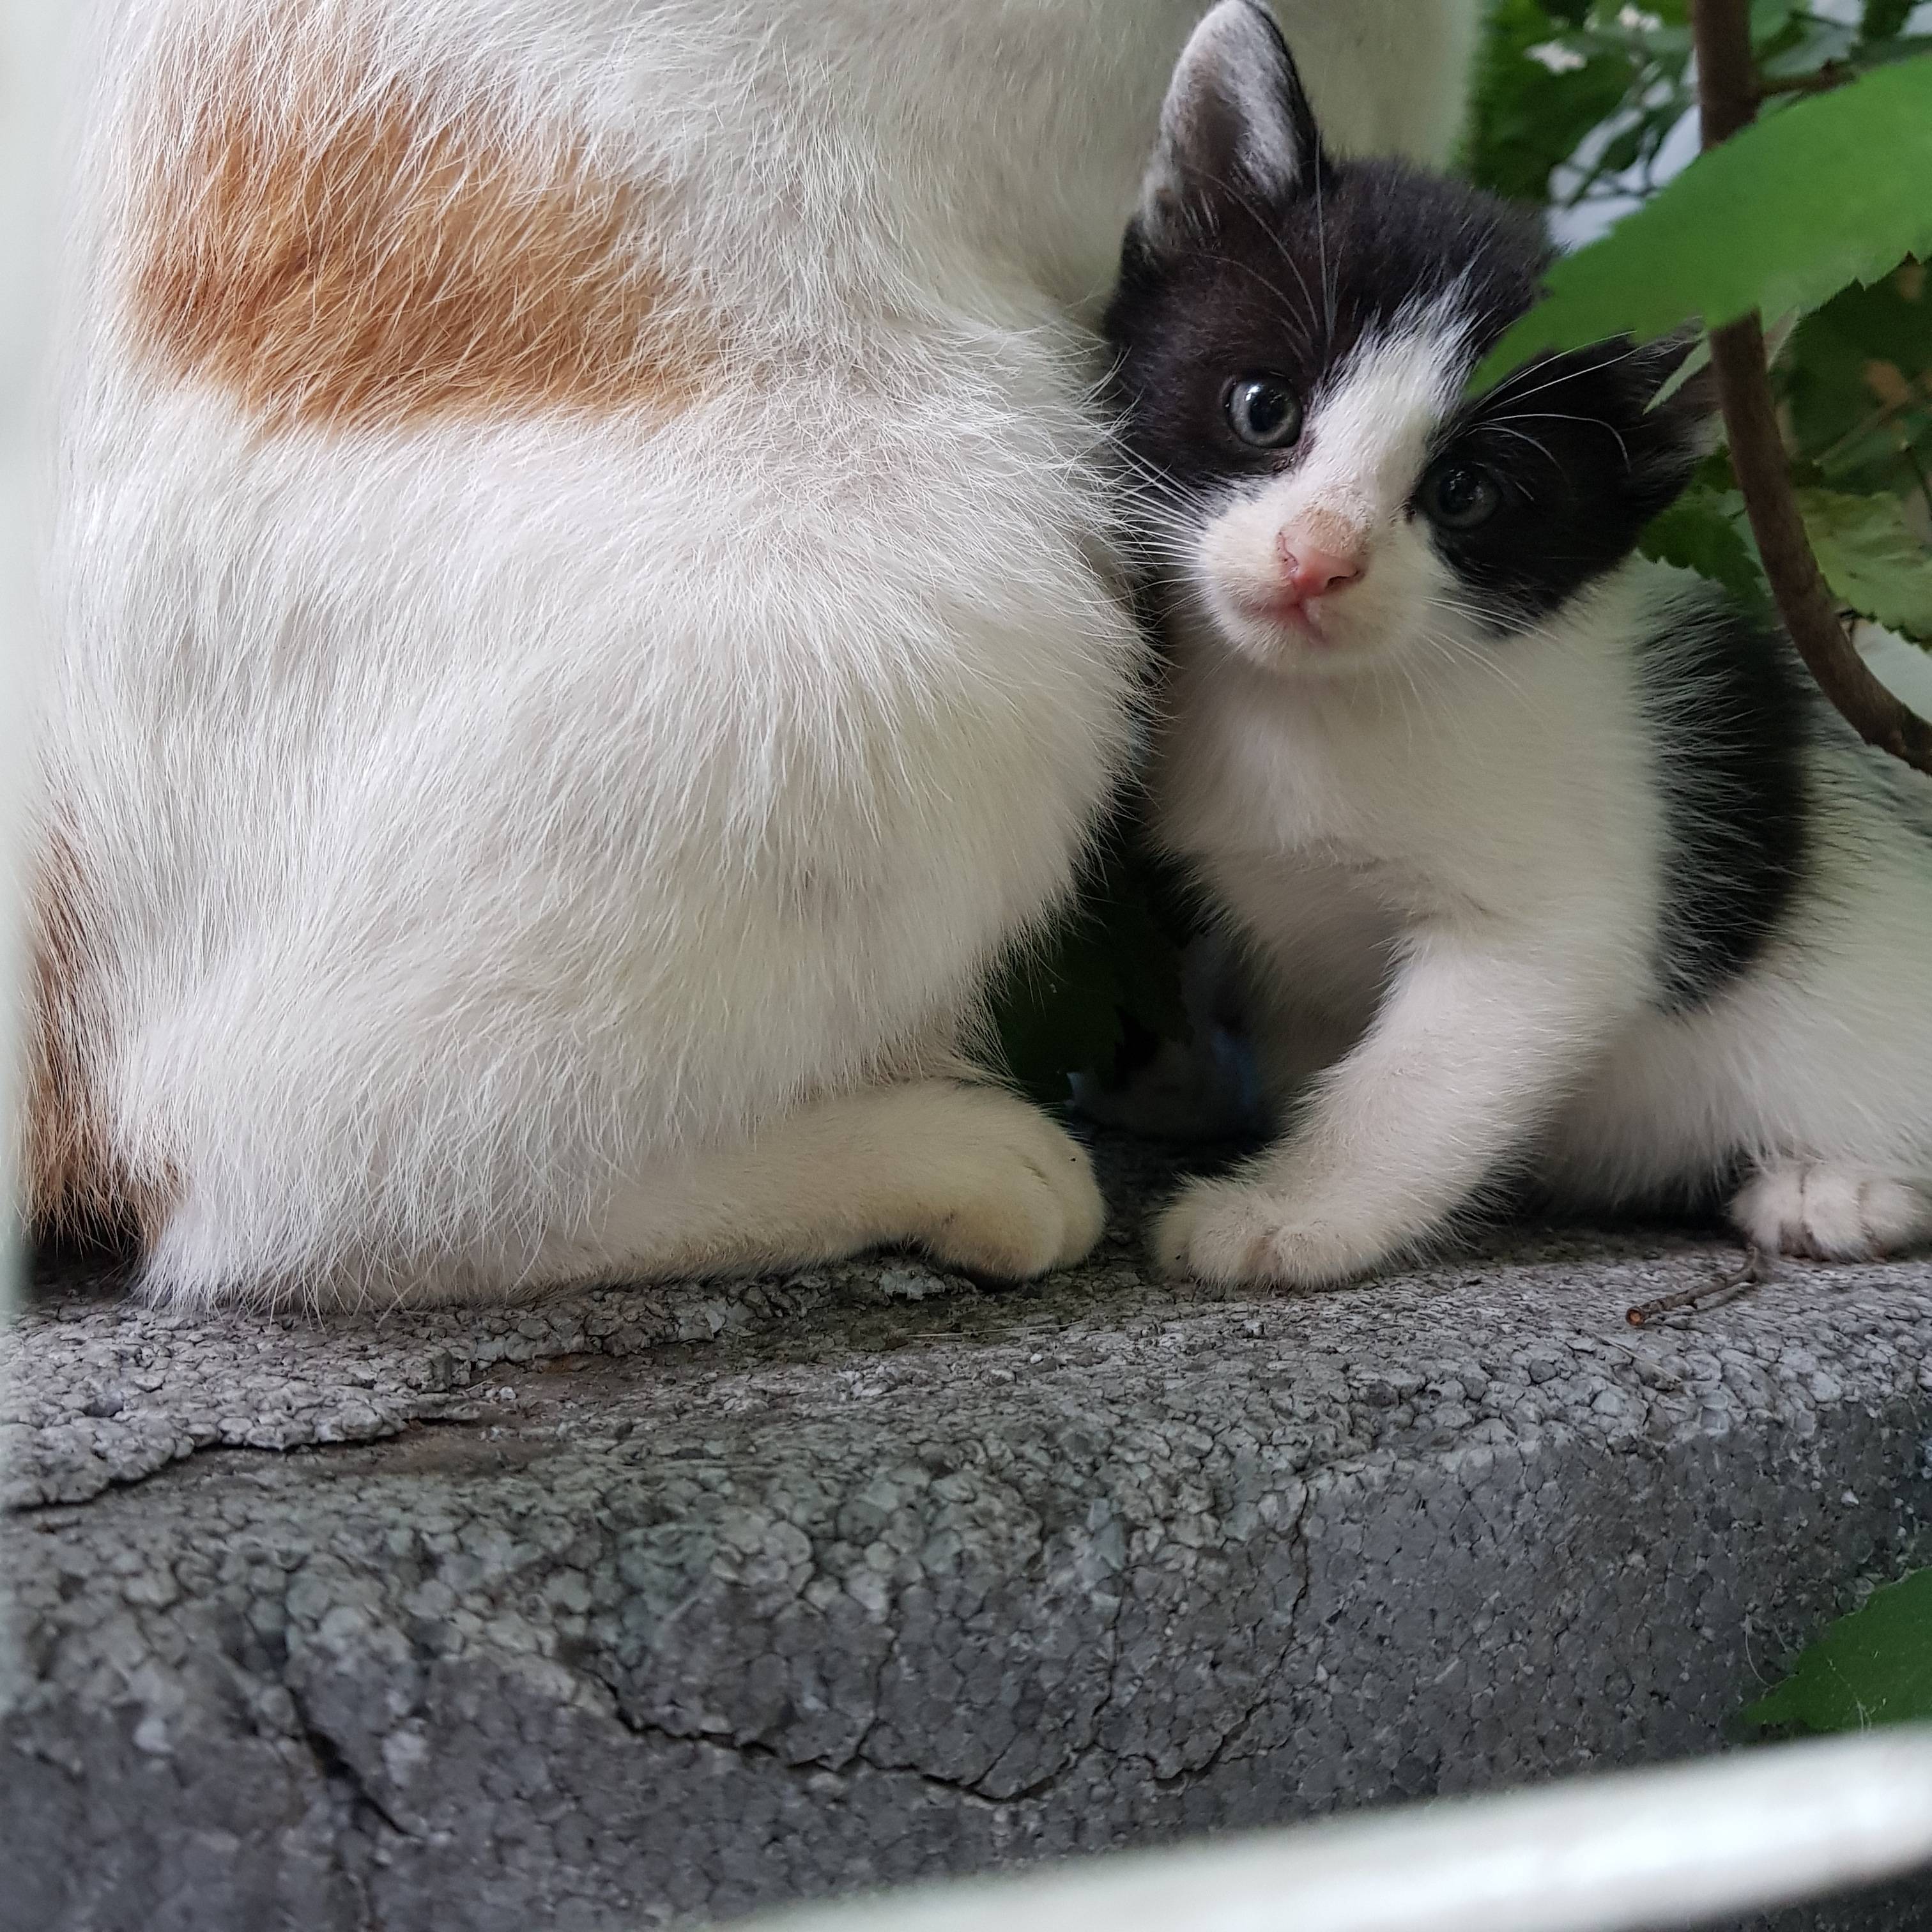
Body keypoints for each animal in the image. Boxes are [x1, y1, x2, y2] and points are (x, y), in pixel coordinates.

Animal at [1112, 3, 1932, 1298]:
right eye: (1261, 408)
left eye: (1464, 492)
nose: (1314, 558)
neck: (1325, 708)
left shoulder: (1549, 924)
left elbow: (1418, 1077)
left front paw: (1287, 1209)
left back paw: (1835, 1188)